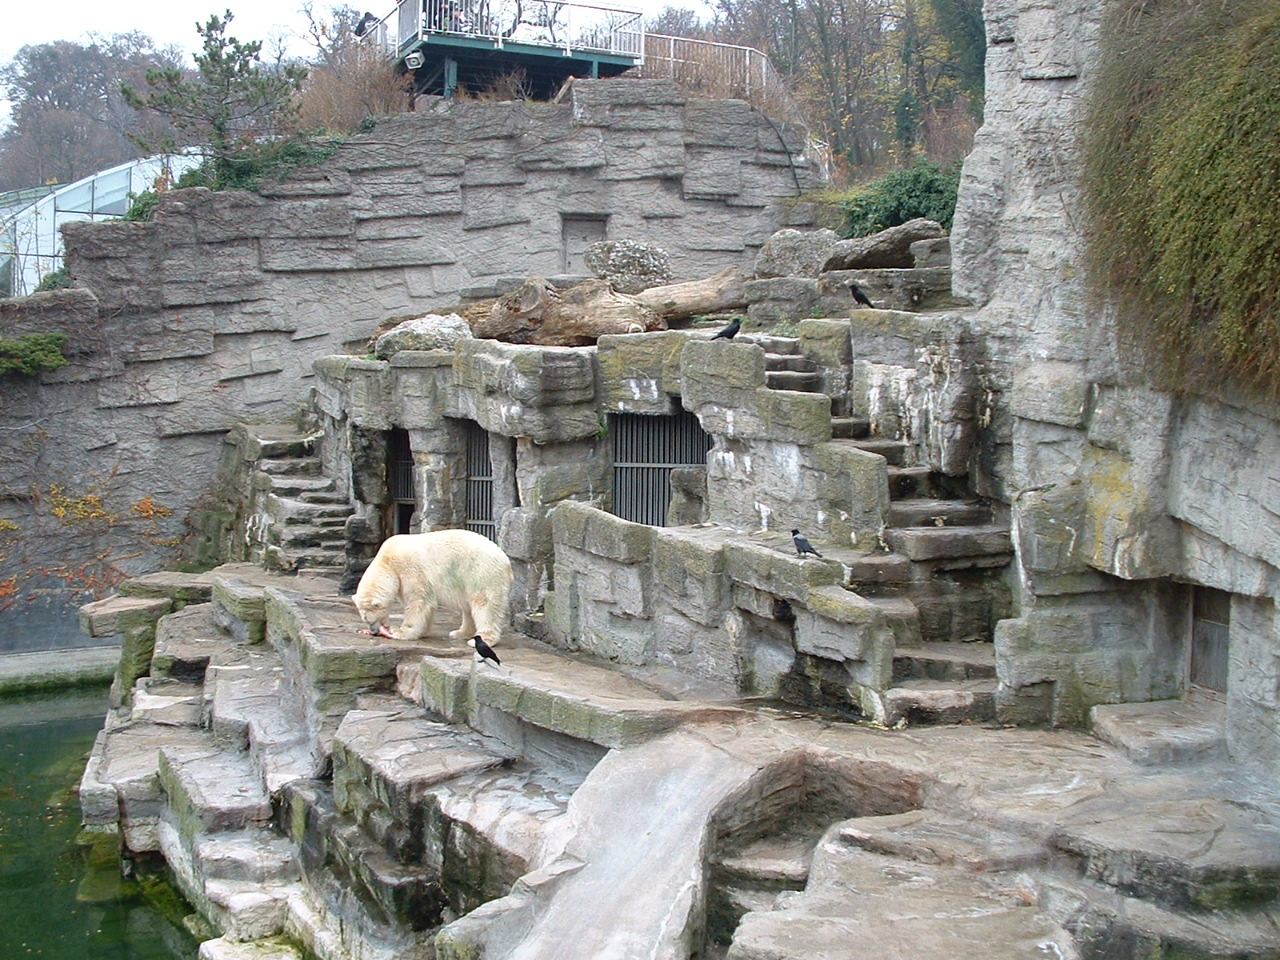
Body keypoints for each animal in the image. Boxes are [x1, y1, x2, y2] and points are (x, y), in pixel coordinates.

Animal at [352, 529, 513, 646]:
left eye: (369, 619)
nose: (373, 632)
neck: (387, 562)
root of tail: (505, 560)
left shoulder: (410, 569)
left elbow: (418, 601)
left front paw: (400, 632)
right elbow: (425, 605)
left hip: (480, 573)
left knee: (484, 605)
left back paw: (482, 639)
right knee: (468, 607)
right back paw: (459, 633)